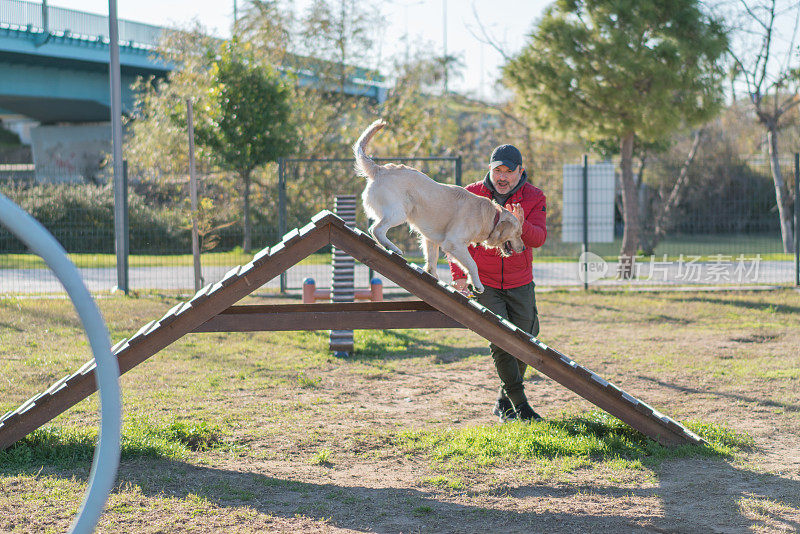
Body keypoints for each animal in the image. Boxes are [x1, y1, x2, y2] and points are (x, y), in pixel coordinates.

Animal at [354, 120, 528, 296]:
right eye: (518, 233)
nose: (523, 248)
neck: (491, 217)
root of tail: (379, 169)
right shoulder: (454, 243)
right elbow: (472, 264)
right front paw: (478, 285)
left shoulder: (431, 239)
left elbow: (432, 261)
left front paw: (433, 278)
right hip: (399, 213)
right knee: (376, 229)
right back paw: (393, 247)